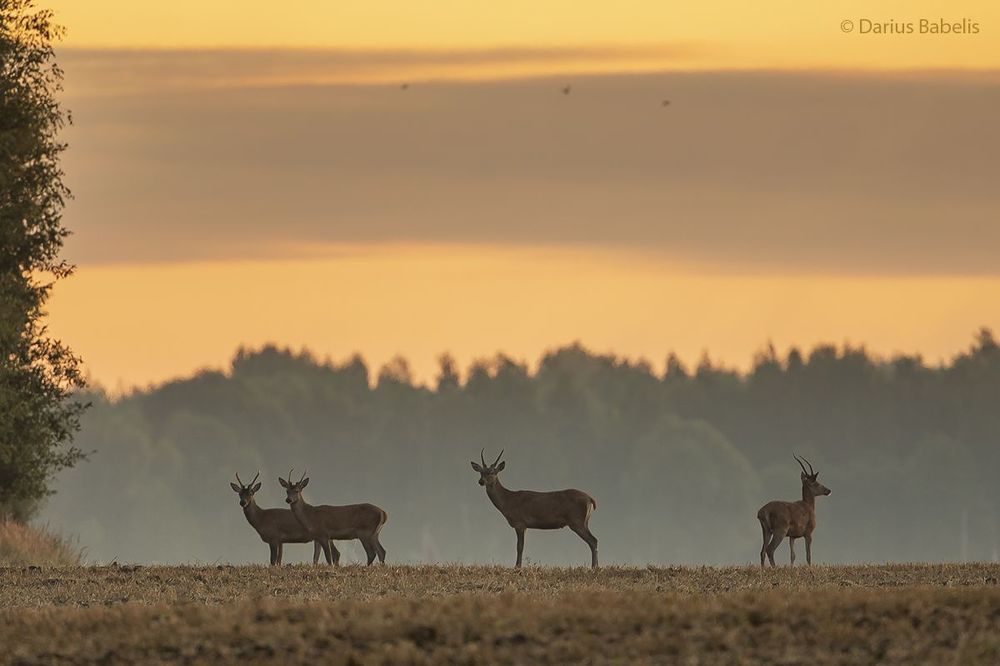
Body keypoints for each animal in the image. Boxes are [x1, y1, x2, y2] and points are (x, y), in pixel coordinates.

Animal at [471, 449, 599, 569]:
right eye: (481, 472)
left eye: (492, 472)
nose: (481, 481)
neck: (508, 502)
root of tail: (591, 499)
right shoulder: (525, 525)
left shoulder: (519, 522)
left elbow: (519, 546)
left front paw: (517, 566)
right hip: (583, 522)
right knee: (594, 540)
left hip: (577, 521)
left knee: (593, 540)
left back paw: (594, 567)